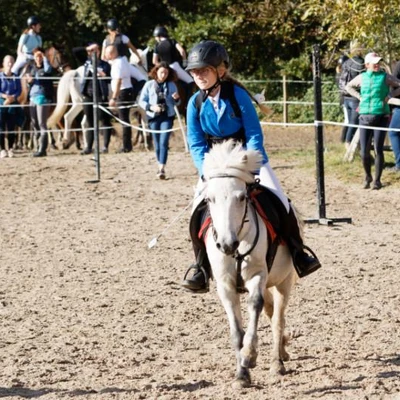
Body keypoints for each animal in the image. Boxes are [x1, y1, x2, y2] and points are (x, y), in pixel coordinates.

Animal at [202, 141, 298, 388]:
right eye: (209, 199)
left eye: (241, 197)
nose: (226, 244)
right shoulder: (225, 286)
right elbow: (237, 331)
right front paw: (241, 375)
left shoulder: (257, 276)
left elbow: (255, 305)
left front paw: (249, 355)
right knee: (271, 312)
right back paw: (282, 351)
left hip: (284, 281)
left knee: (277, 319)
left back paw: (277, 362)